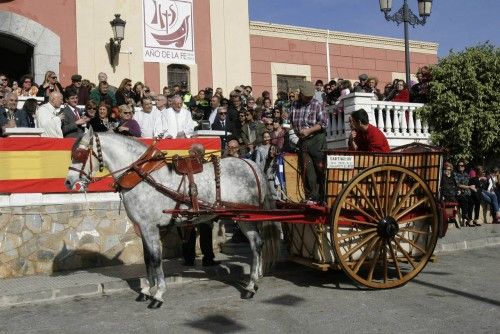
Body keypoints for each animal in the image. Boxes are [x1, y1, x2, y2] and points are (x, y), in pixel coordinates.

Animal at [65, 127, 282, 308]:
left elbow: (155, 259)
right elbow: (147, 259)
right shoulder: (142, 228)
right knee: (258, 244)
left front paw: (158, 295)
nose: (69, 182)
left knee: (256, 244)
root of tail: (250, 163)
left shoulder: (149, 227)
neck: (143, 178)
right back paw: (255, 280)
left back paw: (251, 286)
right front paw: (148, 290)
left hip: (244, 216)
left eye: (80, 154)